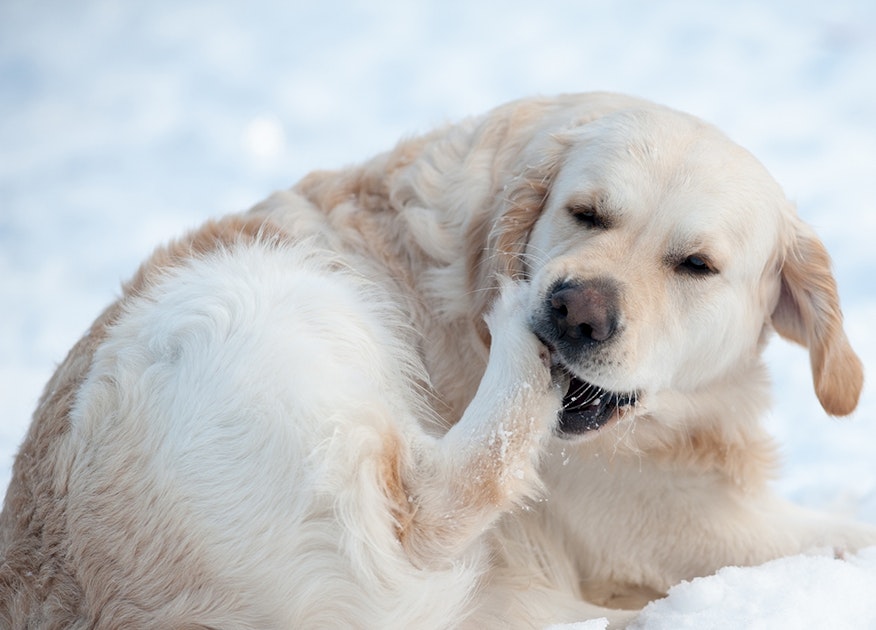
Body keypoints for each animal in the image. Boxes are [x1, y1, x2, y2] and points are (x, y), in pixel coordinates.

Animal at [1, 91, 876, 628]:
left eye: (696, 265)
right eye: (586, 212)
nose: (574, 309)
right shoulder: (682, 524)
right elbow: (848, 536)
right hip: (253, 297)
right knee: (431, 505)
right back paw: (516, 337)